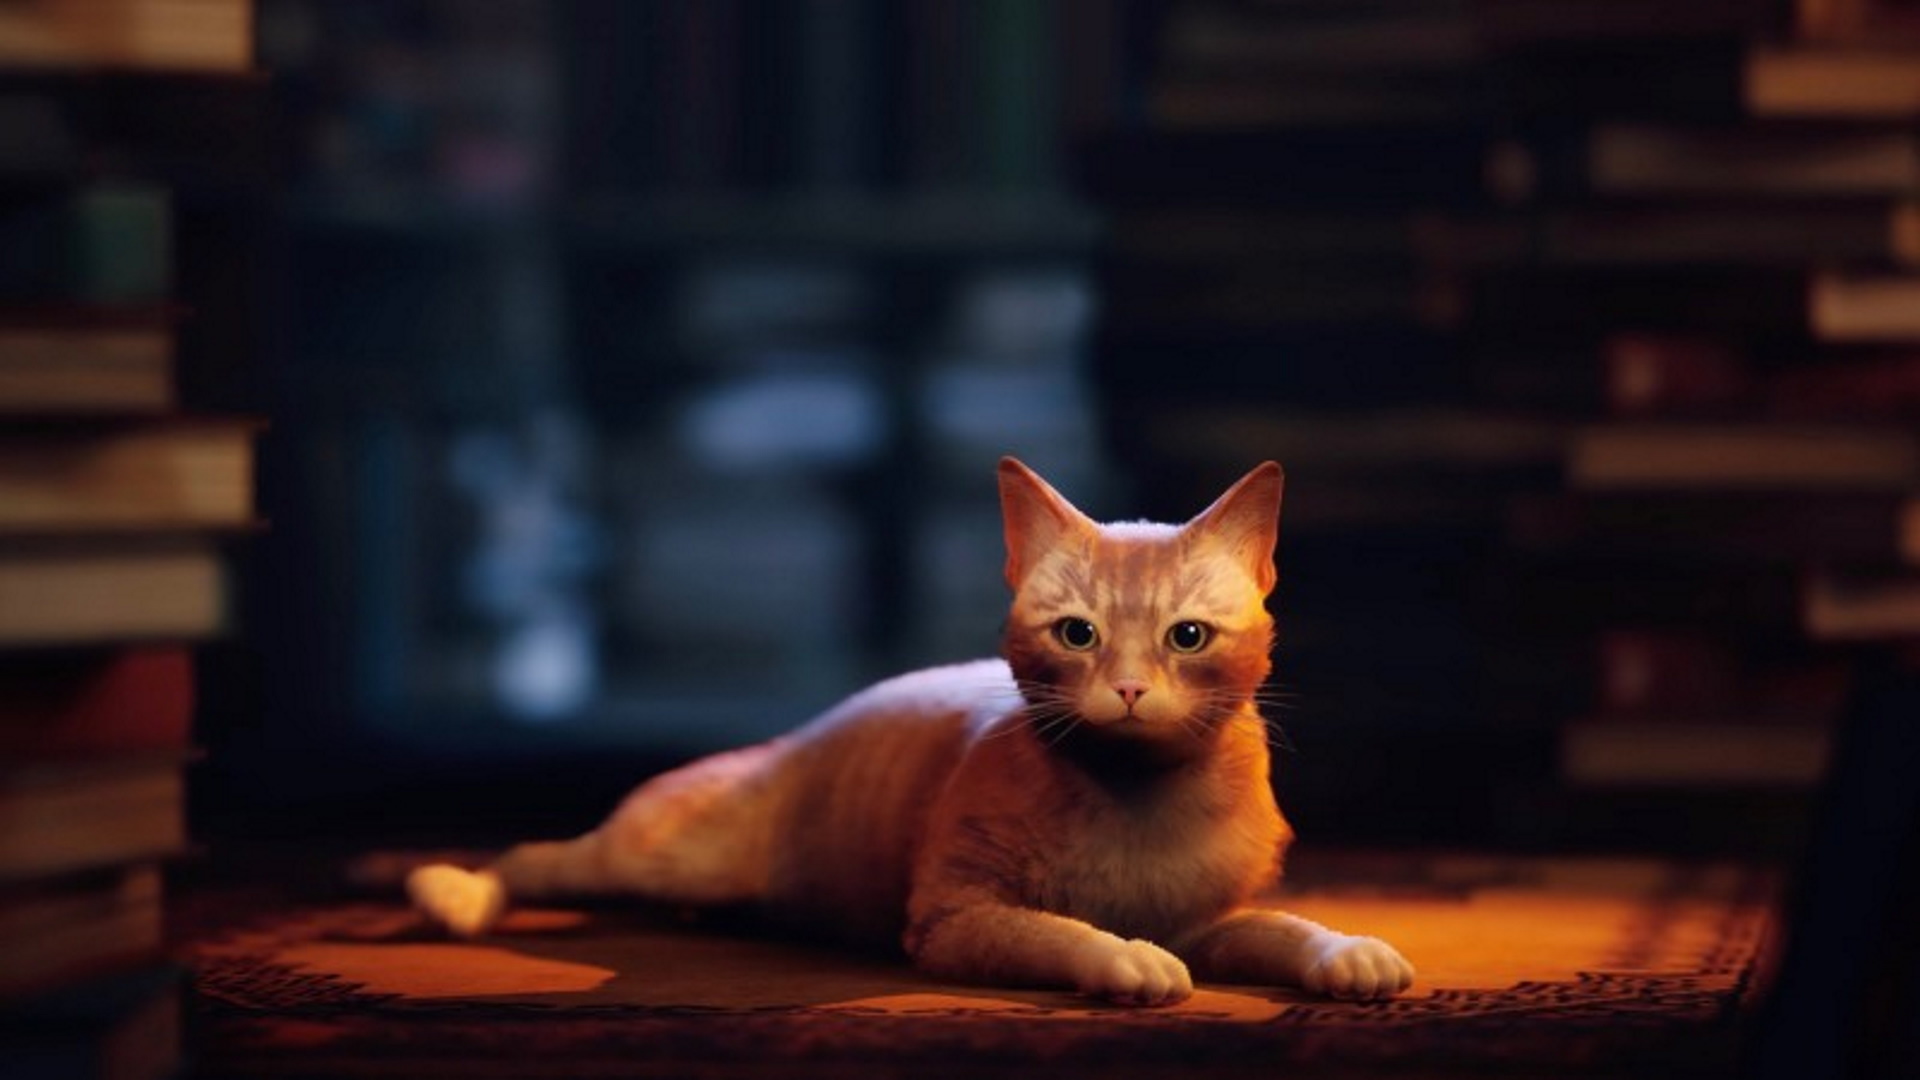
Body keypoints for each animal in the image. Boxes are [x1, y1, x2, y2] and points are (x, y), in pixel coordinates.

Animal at [412, 453, 1420, 999]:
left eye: (1188, 637)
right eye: (1078, 635)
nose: (1131, 689)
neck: (1137, 802)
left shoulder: (1208, 922)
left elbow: (1285, 927)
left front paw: (1351, 953)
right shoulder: (953, 919)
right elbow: (1062, 935)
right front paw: (1127, 961)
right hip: (652, 856)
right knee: (537, 858)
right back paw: (453, 895)